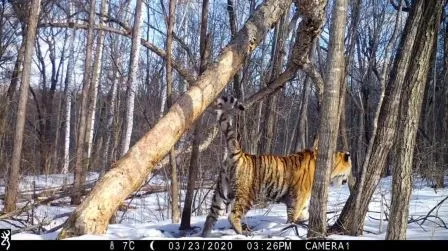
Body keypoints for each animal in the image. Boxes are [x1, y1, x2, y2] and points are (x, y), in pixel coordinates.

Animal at [201, 95, 352, 236]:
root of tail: (239, 153)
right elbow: (294, 214)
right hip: (247, 194)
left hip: (220, 193)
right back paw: (243, 233)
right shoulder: (299, 196)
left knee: (210, 217)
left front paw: (301, 223)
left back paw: (205, 235)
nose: (346, 181)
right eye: (349, 171)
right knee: (233, 215)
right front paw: (291, 226)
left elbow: (303, 213)